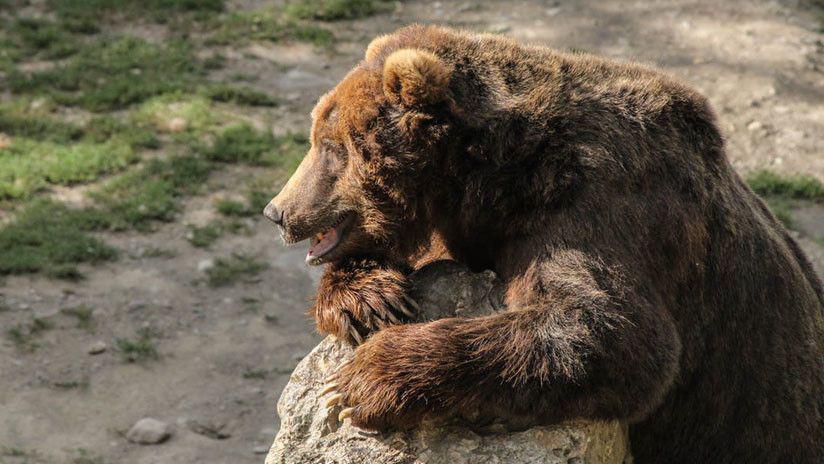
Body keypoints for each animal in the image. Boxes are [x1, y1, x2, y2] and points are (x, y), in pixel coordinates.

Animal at [264, 25, 824, 464]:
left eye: (329, 145)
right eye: (317, 133)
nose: (277, 211)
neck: (491, 178)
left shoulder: (599, 204)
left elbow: (611, 328)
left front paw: (359, 380)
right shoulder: (463, 229)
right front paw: (369, 301)